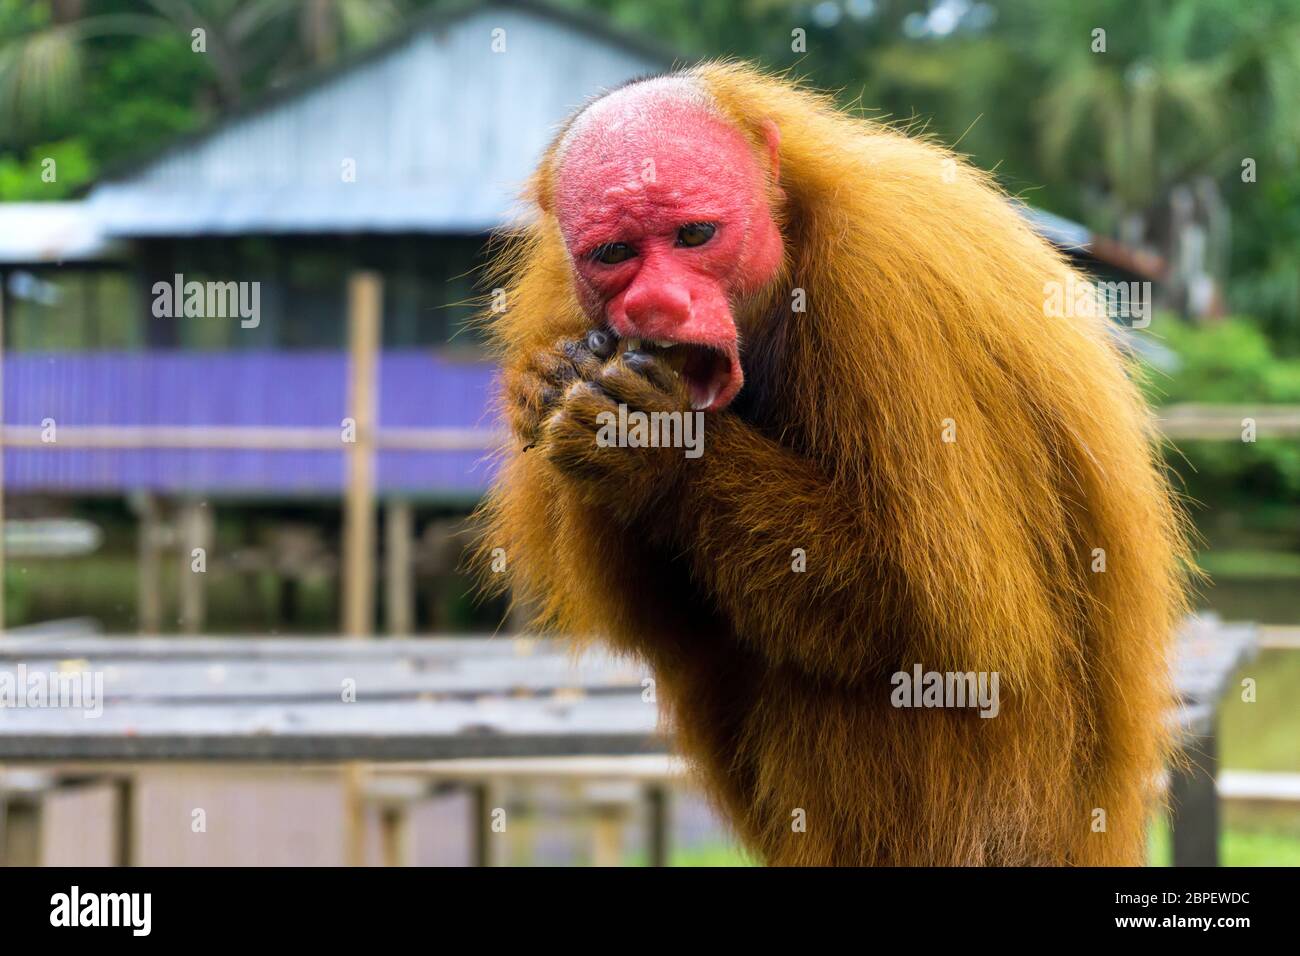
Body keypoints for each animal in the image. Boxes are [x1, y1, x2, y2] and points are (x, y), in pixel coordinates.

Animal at [475, 61, 1190, 868]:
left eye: (694, 236)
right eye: (616, 254)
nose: (657, 304)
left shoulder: (890, 290)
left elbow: (941, 617)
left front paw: (656, 451)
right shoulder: (563, 304)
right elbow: (663, 626)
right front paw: (550, 381)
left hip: (1016, 805)